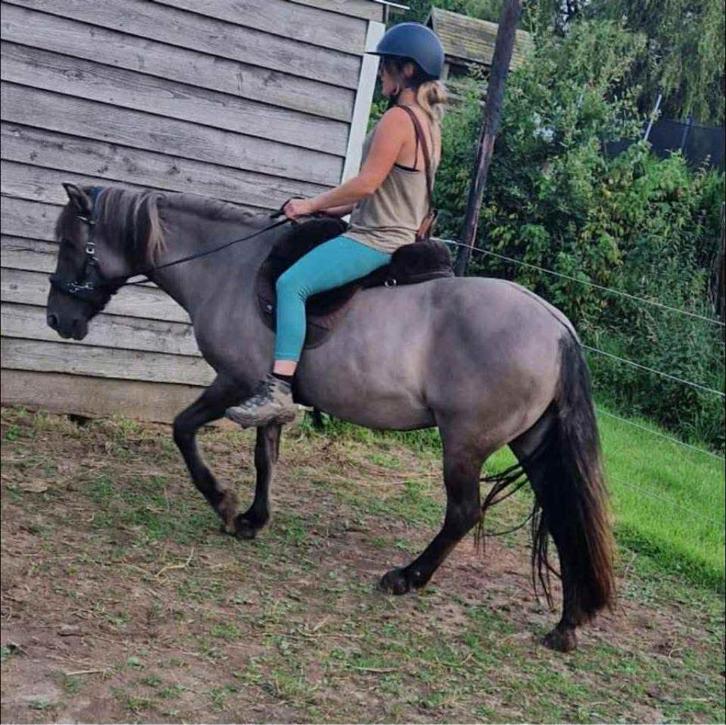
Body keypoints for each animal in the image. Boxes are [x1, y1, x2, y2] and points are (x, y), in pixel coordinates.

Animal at [46, 183, 615, 652]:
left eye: (71, 245)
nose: (56, 318)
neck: (228, 267)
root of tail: (556, 325)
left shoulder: (233, 381)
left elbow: (184, 430)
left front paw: (224, 504)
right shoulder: (266, 395)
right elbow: (266, 458)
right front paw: (253, 519)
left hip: (464, 443)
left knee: (463, 513)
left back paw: (407, 577)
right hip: (533, 443)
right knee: (563, 516)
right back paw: (567, 623)